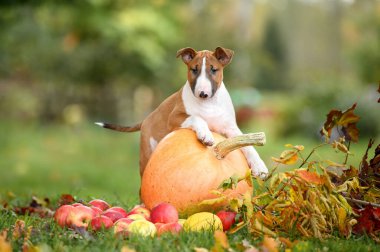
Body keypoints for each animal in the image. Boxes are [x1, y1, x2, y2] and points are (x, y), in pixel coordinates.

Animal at [95, 46, 268, 177]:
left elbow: (247, 145)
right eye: (194, 70)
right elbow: (197, 117)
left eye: (214, 70)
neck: (209, 104)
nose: (202, 93)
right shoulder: (175, 117)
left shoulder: (230, 127)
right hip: (146, 154)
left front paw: (259, 167)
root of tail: (146, 119)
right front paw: (206, 135)